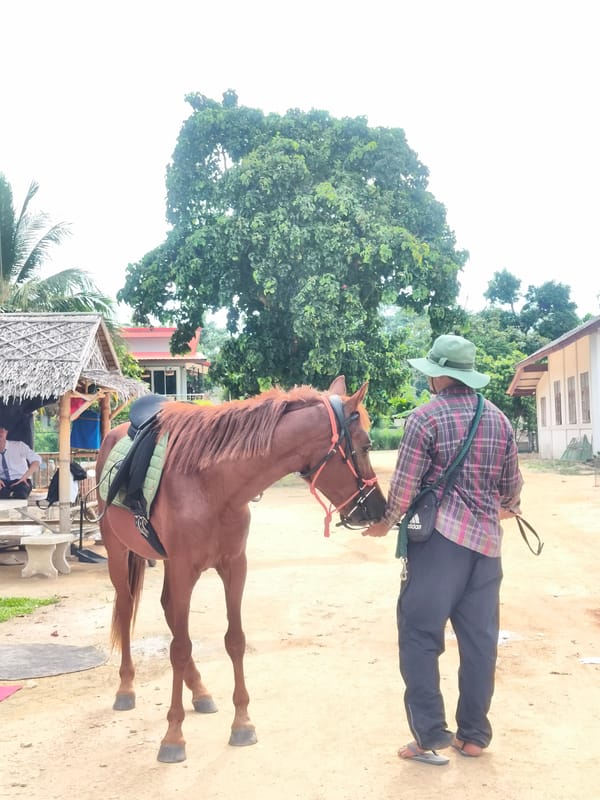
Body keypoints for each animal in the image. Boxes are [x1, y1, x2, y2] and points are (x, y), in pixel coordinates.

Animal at [96, 375, 387, 763]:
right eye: (366, 445)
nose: (379, 509)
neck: (214, 484)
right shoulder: (184, 569)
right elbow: (179, 648)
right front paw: (173, 736)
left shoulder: (234, 566)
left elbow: (234, 641)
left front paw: (242, 723)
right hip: (118, 552)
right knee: (128, 609)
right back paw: (126, 687)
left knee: (168, 610)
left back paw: (200, 690)